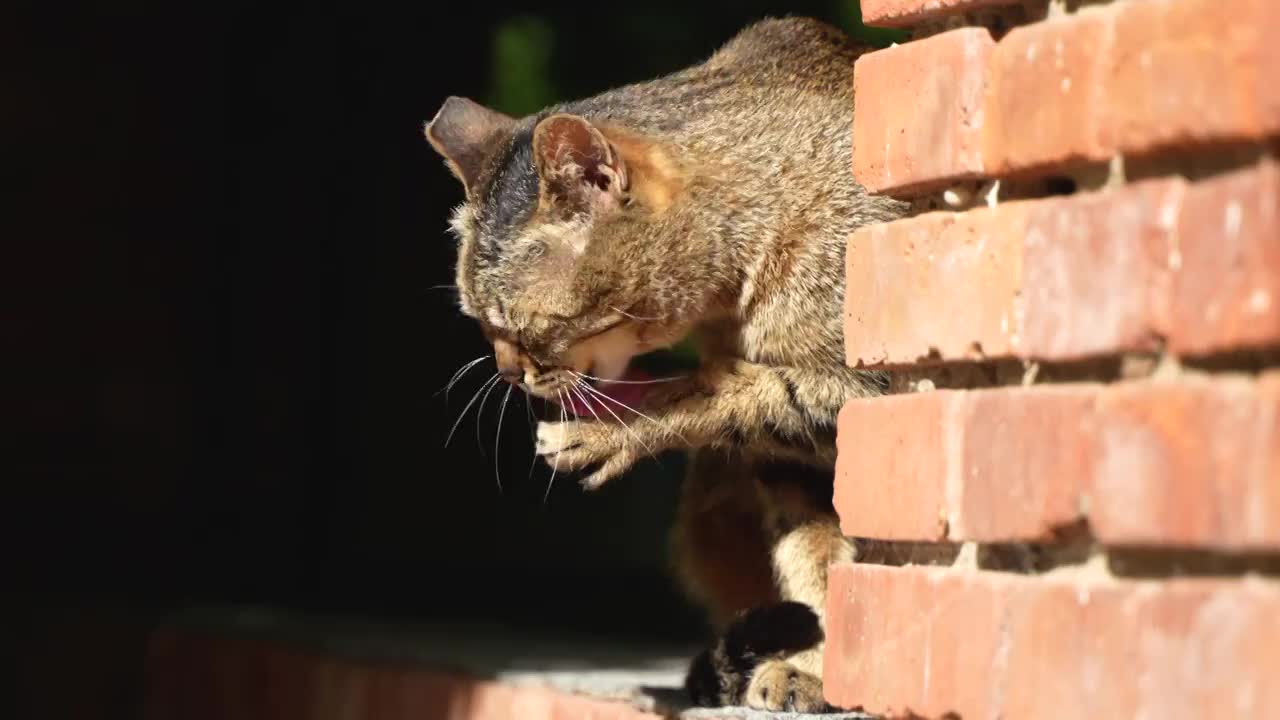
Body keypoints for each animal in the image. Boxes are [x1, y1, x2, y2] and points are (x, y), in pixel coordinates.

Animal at [424, 16, 906, 712]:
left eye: (515, 325)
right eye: (479, 323)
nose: (509, 372)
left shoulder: (873, 392)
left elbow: (723, 395)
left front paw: (613, 430)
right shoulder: (791, 468)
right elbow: (815, 564)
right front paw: (815, 668)